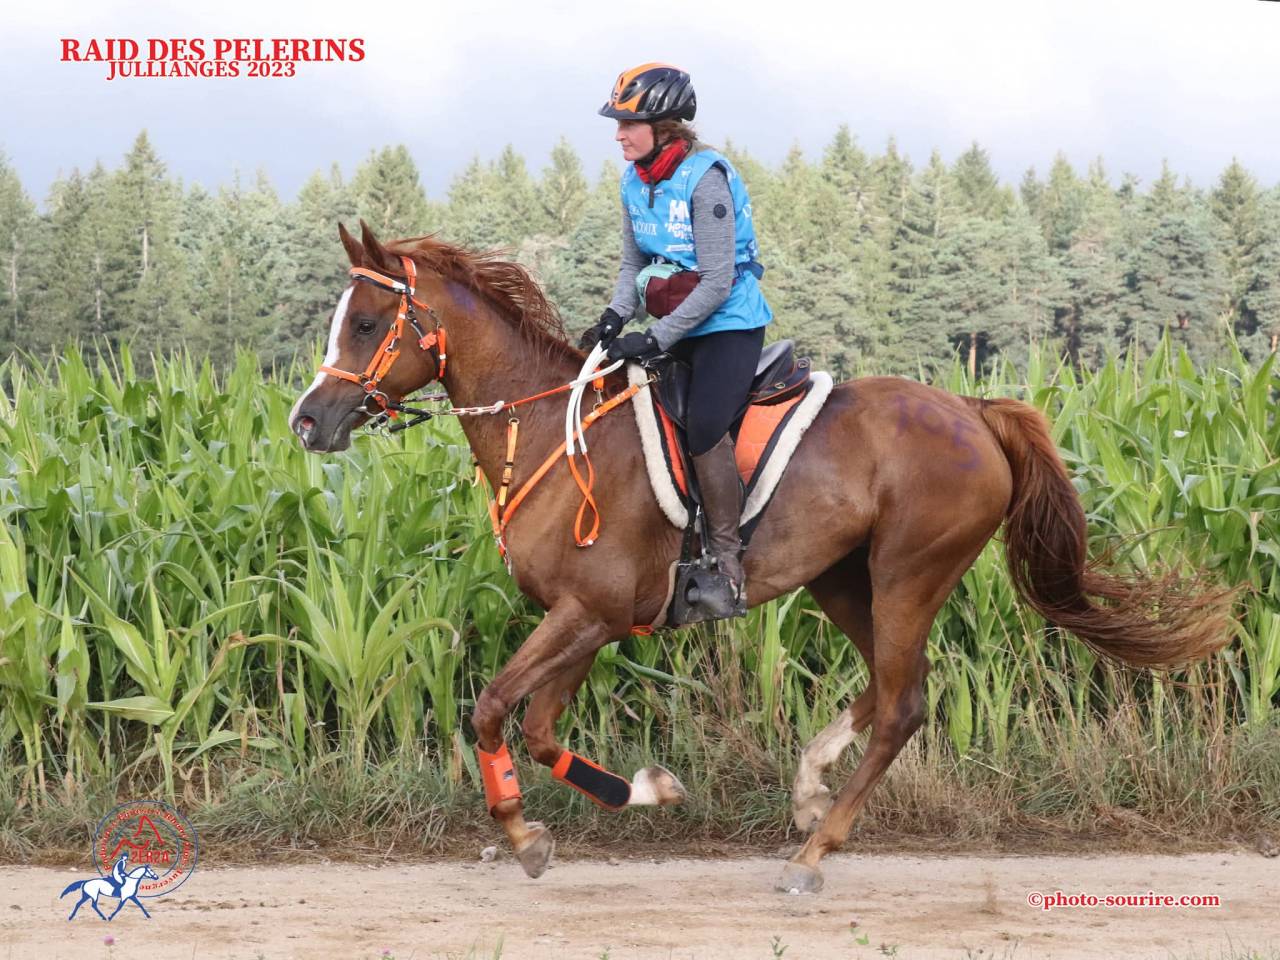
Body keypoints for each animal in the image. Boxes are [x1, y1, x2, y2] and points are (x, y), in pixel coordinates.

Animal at [289, 220, 1235, 894]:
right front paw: (641, 793)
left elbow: (491, 710)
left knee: (902, 704)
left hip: (907, 574)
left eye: (366, 322)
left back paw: (816, 850)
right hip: (841, 579)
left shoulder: (587, 613)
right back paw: (811, 789)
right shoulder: (587, 620)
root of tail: (974, 410)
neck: (552, 429)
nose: (307, 421)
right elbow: (539, 725)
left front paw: (526, 833)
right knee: (892, 685)